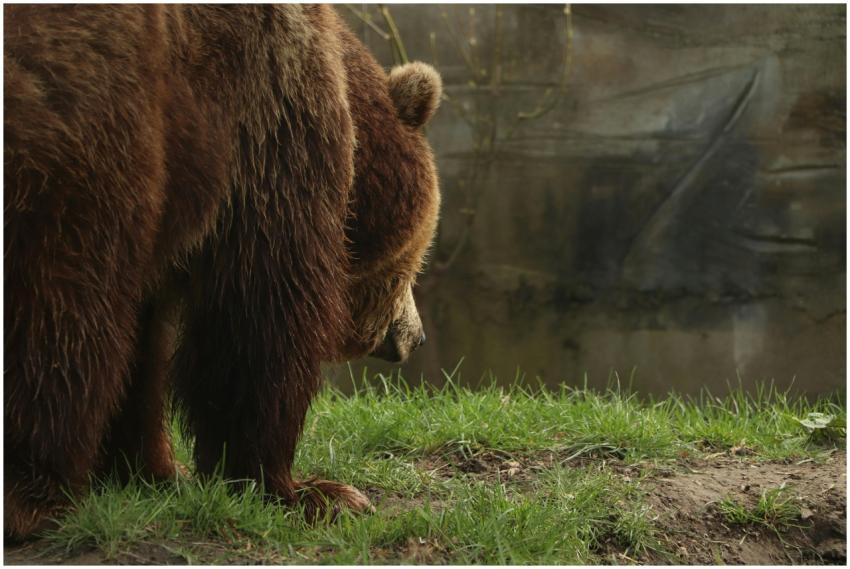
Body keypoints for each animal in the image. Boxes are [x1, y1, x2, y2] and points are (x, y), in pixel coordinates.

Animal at [4, 4, 441, 540]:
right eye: (416, 261)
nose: (414, 336)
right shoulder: (267, 111)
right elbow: (257, 316)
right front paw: (309, 491)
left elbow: (144, 340)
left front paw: (149, 469)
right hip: (79, 121)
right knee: (61, 297)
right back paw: (32, 495)